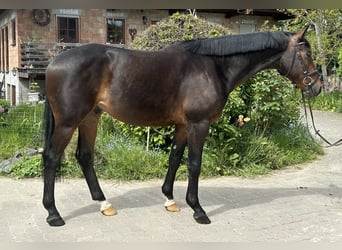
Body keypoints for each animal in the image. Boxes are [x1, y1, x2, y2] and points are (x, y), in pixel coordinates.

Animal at [42, 26, 320, 227]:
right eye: (306, 55)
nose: (317, 87)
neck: (213, 67)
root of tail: (53, 62)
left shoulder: (183, 125)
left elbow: (175, 158)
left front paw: (169, 199)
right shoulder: (199, 124)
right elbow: (194, 163)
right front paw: (198, 209)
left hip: (91, 117)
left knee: (85, 156)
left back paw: (104, 205)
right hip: (68, 123)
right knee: (52, 158)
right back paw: (54, 214)